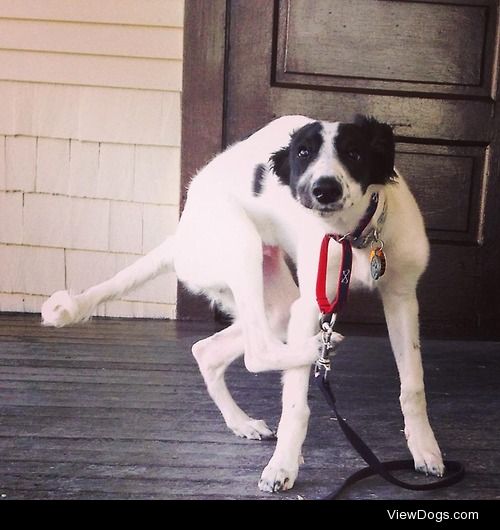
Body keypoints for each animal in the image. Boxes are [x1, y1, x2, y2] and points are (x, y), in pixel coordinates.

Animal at [41, 114, 444, 490]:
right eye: (302, 153)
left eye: (354, 153)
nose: (324, 190)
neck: (354, 238)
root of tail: (181, 234)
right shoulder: (310, 306)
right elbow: (295, 406)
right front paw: (282, 466)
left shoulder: (402, 298)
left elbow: (413, 385)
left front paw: (425, 449)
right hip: (242, 247)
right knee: (257, 352)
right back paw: (314, 352)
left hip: (276, 306)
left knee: (208, 350)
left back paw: (242, 422)